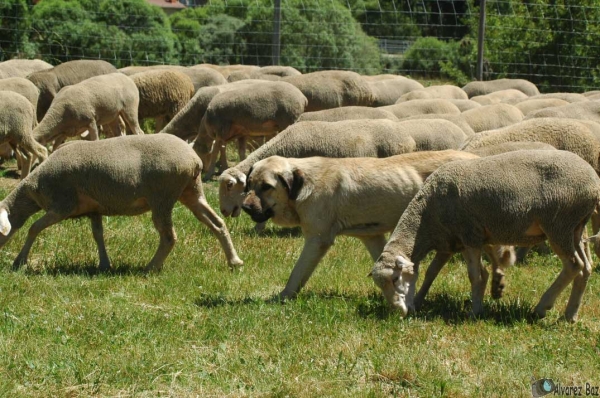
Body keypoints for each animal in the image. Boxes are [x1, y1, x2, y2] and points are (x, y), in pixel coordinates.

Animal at [0, 132, 244, 272]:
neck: (35, 186)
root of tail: (194, 159)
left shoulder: (62, 205)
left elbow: (34, 227)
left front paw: (19, 262)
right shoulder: (94, 208)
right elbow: (98, 235)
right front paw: (104, 264)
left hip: (162, 196)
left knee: (169, 236)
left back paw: (150, 268)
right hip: (191, 191)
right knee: (216, 222)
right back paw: (234, 260)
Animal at [241, 149, 480, 298]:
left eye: (266, 187)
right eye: (250, 184)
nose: (244, 207)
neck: (303, 185)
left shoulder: (317, 240)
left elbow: (297, 273)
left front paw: (283, 296)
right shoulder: (372, 237)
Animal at [370, 151, 600, 322]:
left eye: (395, 278)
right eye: (380, 284)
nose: (398, 313)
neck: (426, 218)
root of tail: (594, 182)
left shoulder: (470, 235)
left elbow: (476, 275)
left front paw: (475, 312)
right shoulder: (454, 241)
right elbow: (431, 273)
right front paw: (418, 301)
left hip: (559, 224)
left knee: (574, 265)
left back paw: (542, 308)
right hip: (575, 228)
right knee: (586, 267)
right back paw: (570, 315)